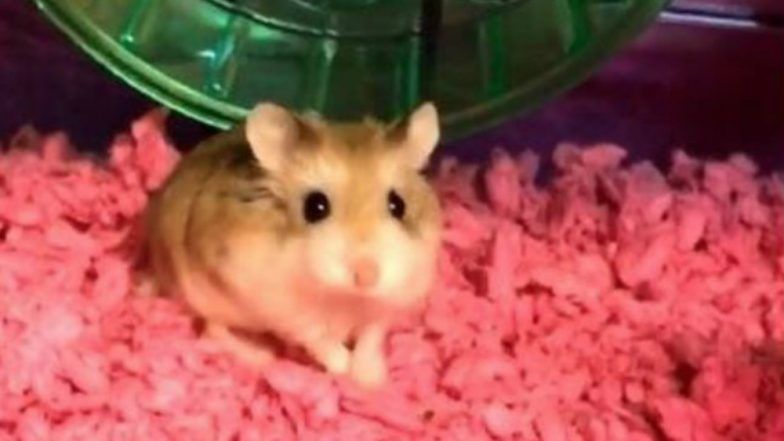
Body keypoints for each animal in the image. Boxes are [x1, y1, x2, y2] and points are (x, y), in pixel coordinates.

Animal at [143, 102, 442, 389]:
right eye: (315, 207)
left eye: (398, 205)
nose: (367, 276)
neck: (344, 296)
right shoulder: (288, 312)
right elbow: (322, 340)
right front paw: (346, 370)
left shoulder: (391, 301)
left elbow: (371, 335)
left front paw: (371, 380)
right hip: (208, 296)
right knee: (212, 329)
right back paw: (261, 355)